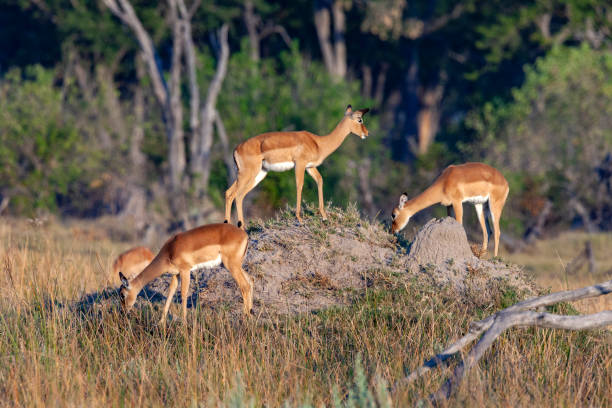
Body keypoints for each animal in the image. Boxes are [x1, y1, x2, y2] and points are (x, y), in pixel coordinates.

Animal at [118, 222, 252, 324]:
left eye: (122, 295)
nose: (123, 312)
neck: (170, 250)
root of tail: (244, 235)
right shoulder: (175, 274)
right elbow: (170, 293)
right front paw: (161, 322)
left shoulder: (185, 271)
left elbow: (183, 294)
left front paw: (184, 322)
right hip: (237, 265)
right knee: (251, 281)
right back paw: (251, 314)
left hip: (232, 265)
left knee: (244, 285)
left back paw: (245, 319)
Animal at [225, 104, 368, 226]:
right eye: (360, 119)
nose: (366, 133)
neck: (318, 143)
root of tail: (236, 149)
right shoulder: (300, 164)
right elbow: (299, 185)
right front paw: (299, 218)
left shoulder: (310, 167)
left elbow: (320, 180)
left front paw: (324, 216)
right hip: (248, 174)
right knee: (236, 195)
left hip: (258, 174)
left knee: (231, 193)